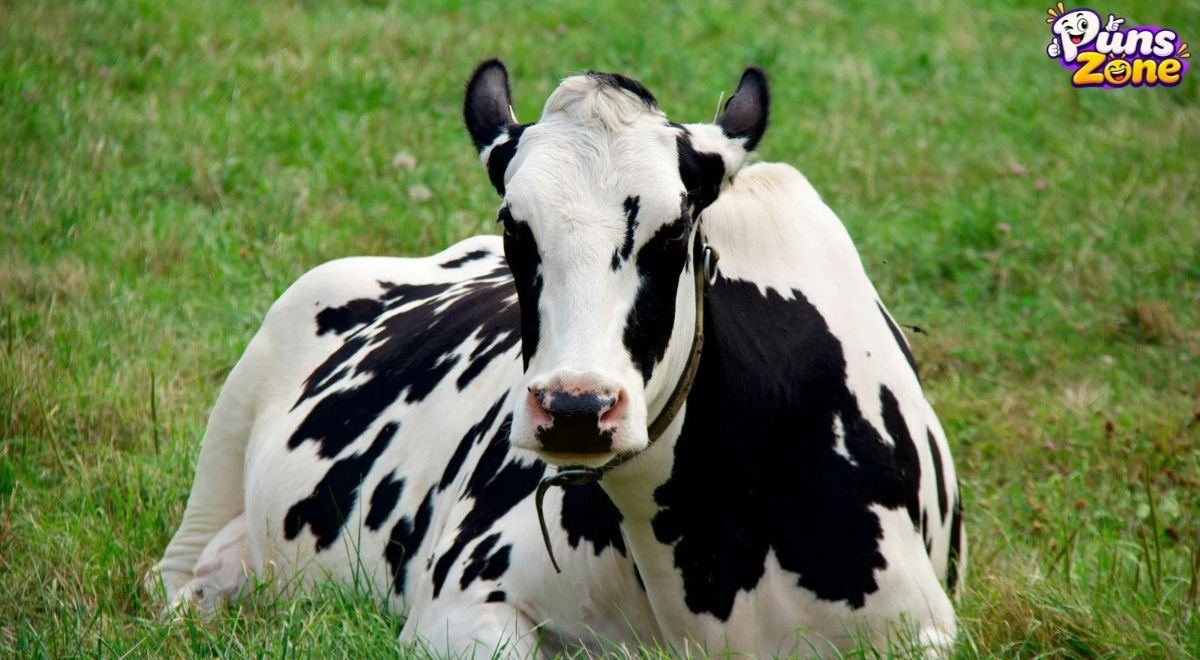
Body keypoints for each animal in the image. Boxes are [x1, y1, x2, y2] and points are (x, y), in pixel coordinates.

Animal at [149, 60, 965, 657]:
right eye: (516, 228)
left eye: (675, 232)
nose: (576, 407)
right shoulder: (457, 607)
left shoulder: (921, 629)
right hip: (229, 431)